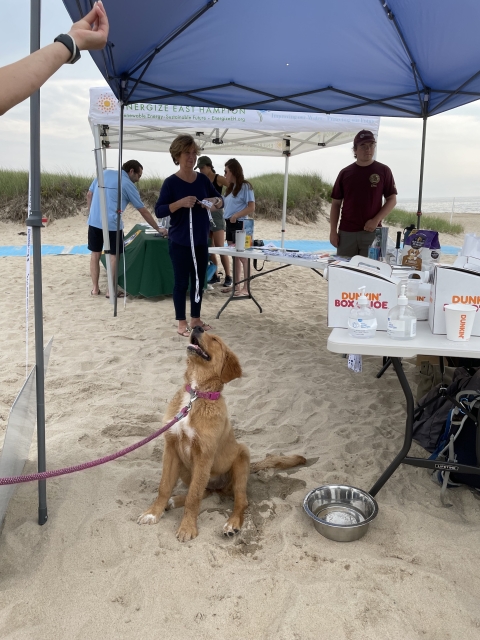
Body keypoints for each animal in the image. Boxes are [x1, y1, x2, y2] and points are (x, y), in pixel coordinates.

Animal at [137, 328, 306, 544]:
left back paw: (231, 524)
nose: (197, 327)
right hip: (187, 468)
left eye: (215, 340)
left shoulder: (204, 455)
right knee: (205, 491)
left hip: (241, 460)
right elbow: (165, 486)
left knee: (240, 501)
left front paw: (187, 527)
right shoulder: (172, 448)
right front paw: (153, 512)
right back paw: (174, 501)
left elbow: (194, 497)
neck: (196, 395)